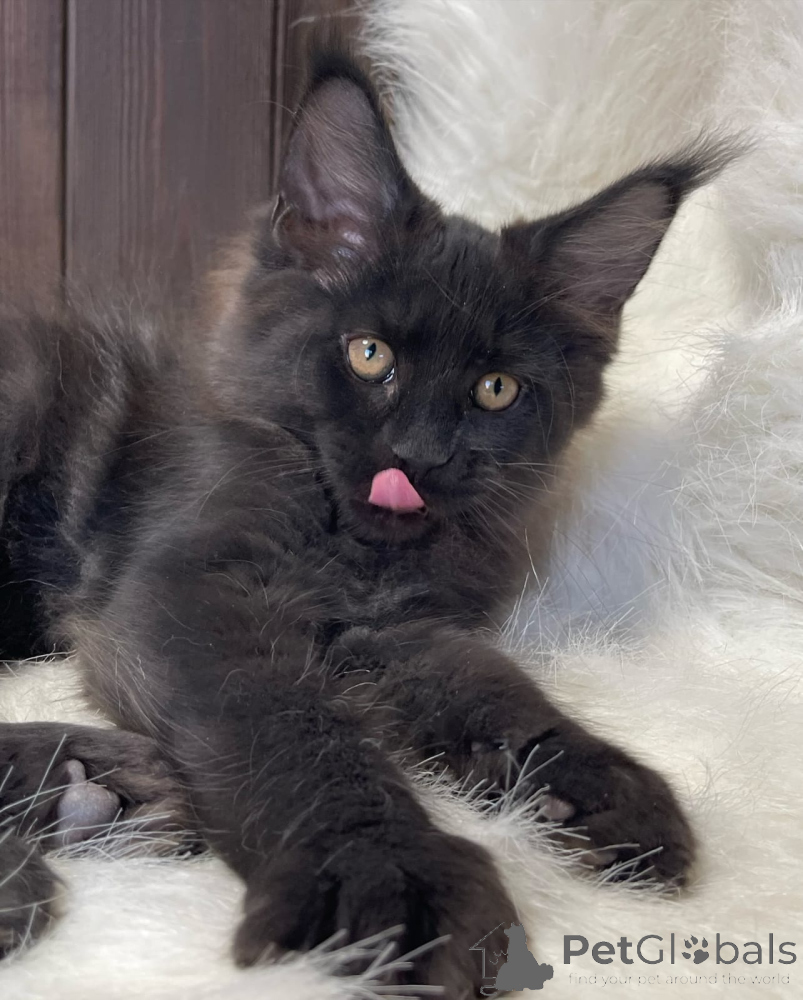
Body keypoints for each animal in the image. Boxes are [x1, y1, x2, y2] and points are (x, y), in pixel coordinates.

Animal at [0, 48, 730, 996]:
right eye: (369, 354)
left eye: (496, 389)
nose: (417, 455)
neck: (350, 551)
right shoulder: (183, 594)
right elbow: (294, 728)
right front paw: (386, 874)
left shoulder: (398, 633)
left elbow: (500, 691)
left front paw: (594, 785)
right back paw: (62, 824)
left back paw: (91, 793)